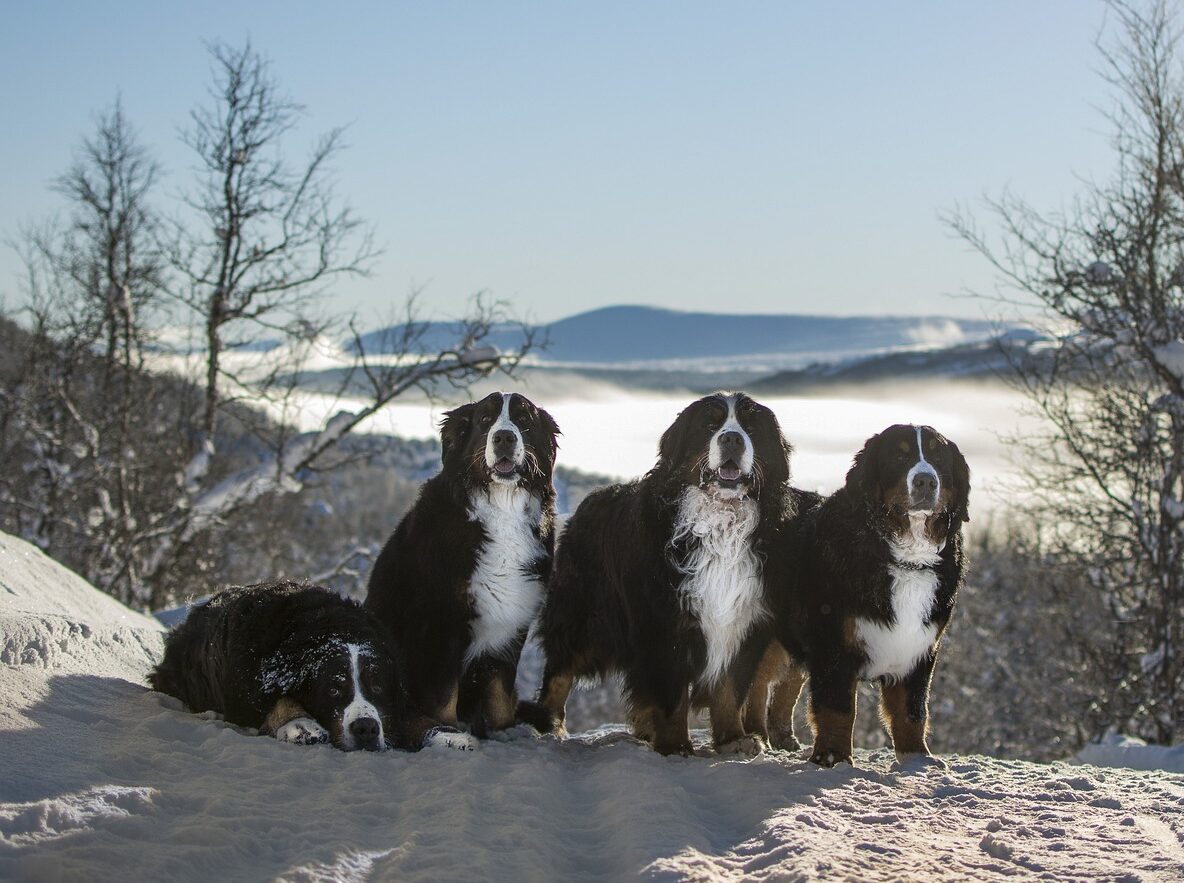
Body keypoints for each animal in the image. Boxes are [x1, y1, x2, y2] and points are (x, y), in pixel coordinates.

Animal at [149, 577, 475, 748]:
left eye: (378, 687)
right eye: (332, 690)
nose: (366, 729)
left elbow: (413, 716)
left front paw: (447, 735)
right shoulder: (248, 685)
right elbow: (279, 701)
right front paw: (300, 724)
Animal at [362, 390, 561, 733]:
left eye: (523, 419)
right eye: (485, 419)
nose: (504, 437)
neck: (502, 510)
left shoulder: (512, 622)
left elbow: (499, 695)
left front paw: (502, 730)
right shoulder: (442, 622)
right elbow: (444, 698)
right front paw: (449, 731)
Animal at [525, 390, 795, 748]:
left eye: (751, 427)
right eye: (709, 425)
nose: (732, 439)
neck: (719, 522)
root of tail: (588, 502)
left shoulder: (744, 620)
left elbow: (729, 688)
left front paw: (732, 739)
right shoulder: (663, 621)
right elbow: (671, 694)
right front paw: (675, 744)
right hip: (582, 615)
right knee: (560, 669)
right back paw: (549, 724)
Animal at [757, 421, 970, 762]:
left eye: (939, 458)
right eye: (899, 457)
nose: (925, 480)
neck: (905, 558)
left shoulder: (920, 649)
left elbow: (912, 710)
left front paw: (917, 760)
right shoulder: (834, 645)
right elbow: (838, 709)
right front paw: (833, 758)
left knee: (784, 687)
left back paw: (782, 740)